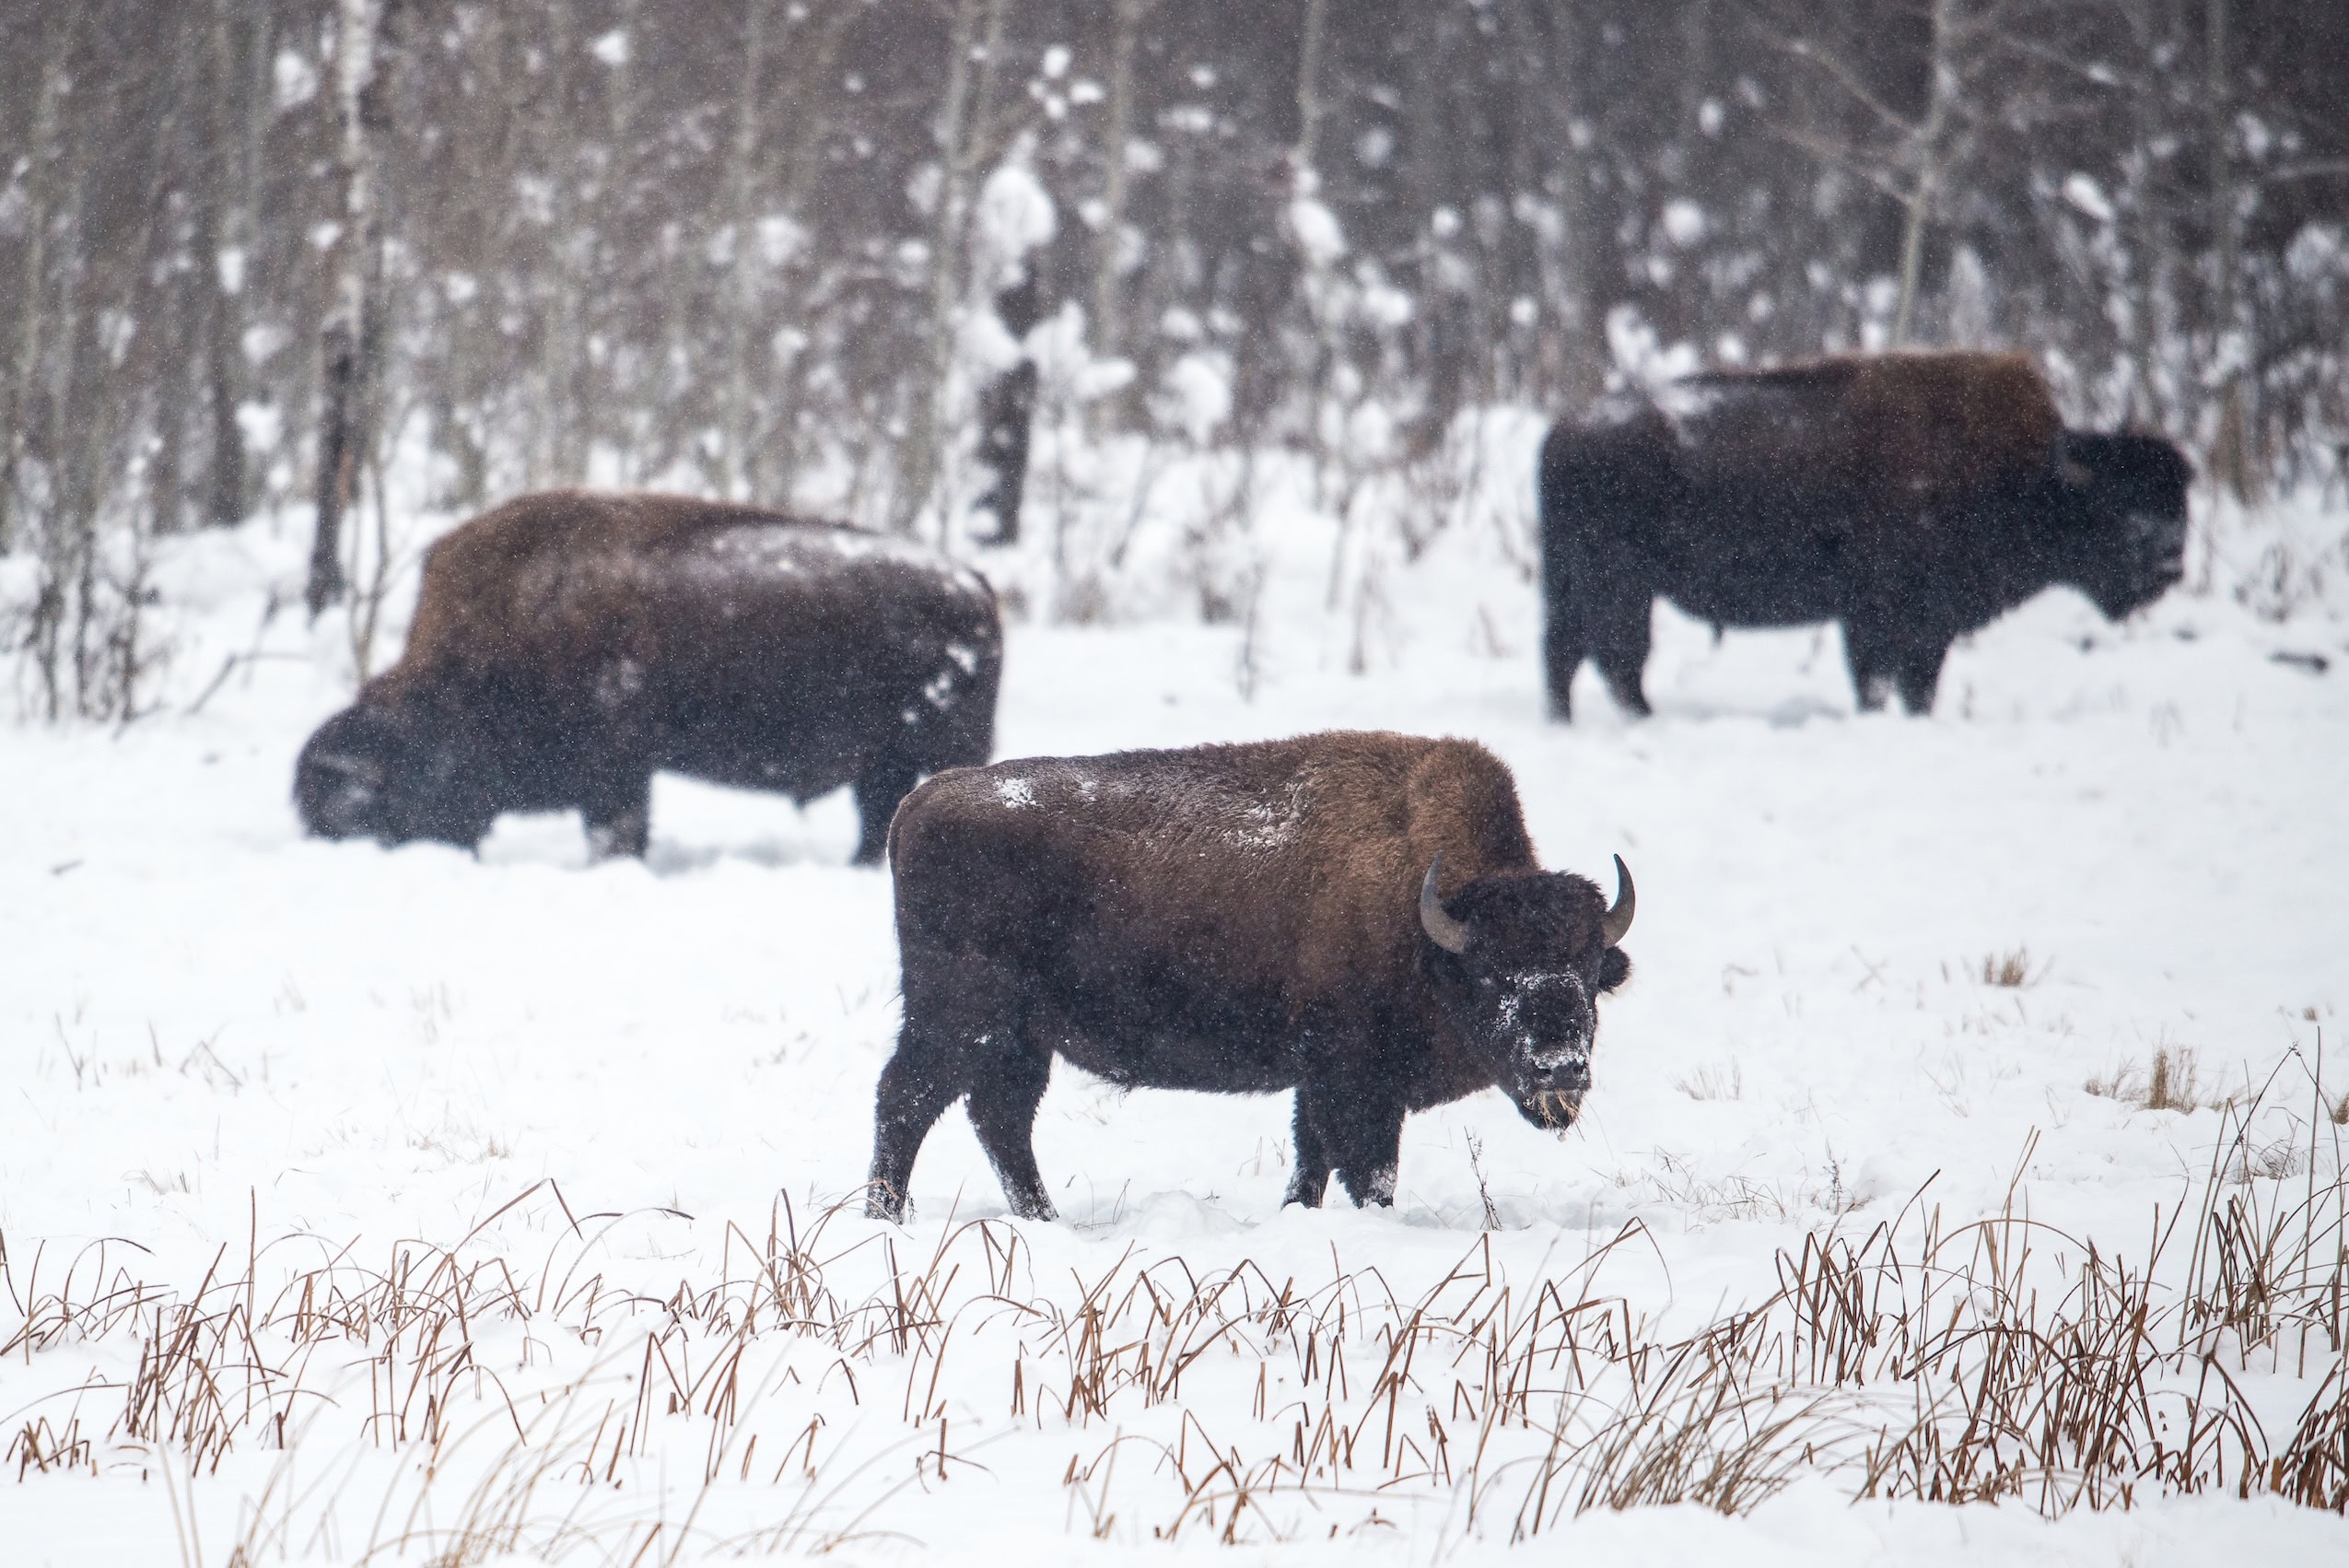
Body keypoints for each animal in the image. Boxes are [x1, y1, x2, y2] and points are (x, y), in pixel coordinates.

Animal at [295, 491, 1001, 864]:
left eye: (374, 800)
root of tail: (973, 584)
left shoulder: (617, 768)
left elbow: (616, 828)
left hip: (939, 749)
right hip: (885, 762)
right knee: (876, 816)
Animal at [865, 731, 1634, 1221]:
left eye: (1588, 971)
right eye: (1495, 975)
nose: (1560, 1069)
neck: (1429, 927)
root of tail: (916, 805)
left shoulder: (1318, 1080)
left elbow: (1312, 1162)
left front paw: (1297, 1213)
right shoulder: (1355, 1080)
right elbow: (1368, 1171)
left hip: (1019, 1039)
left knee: (998, 1119)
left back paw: (1042, 1219)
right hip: (961, 1020)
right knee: (908, 1099)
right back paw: (886, 1218)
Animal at [1539, 351, 2193, 718]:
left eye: (2180, 503)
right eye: (2121, 504)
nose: (2171, 565)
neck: (2031, 476)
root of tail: (1564, 432)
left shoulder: (1925, 626)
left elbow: (1916, 684)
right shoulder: (1883, 617)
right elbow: (1882, 680)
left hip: (1578, 586)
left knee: (1567, 655)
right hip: (1621, 588)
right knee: (1616, 658)